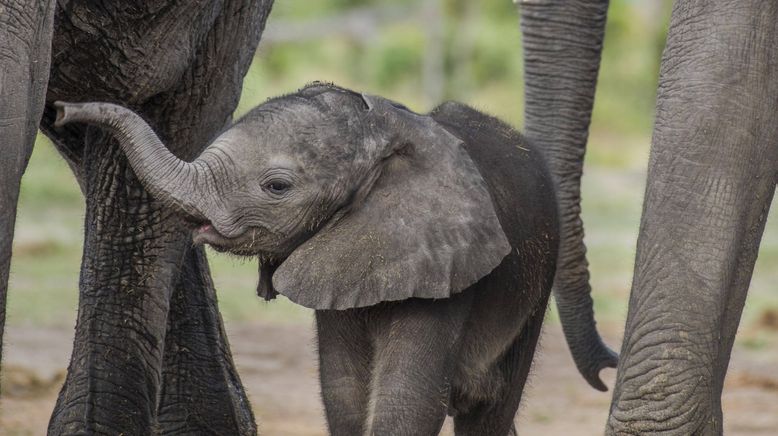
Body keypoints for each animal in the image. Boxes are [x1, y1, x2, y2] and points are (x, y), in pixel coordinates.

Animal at [57, 82, 560, 436]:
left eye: (277, 187)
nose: (63, 109)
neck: (383, 133)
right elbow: (344, 393)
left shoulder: (444, 268)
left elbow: (407, 401)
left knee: (490, 408)